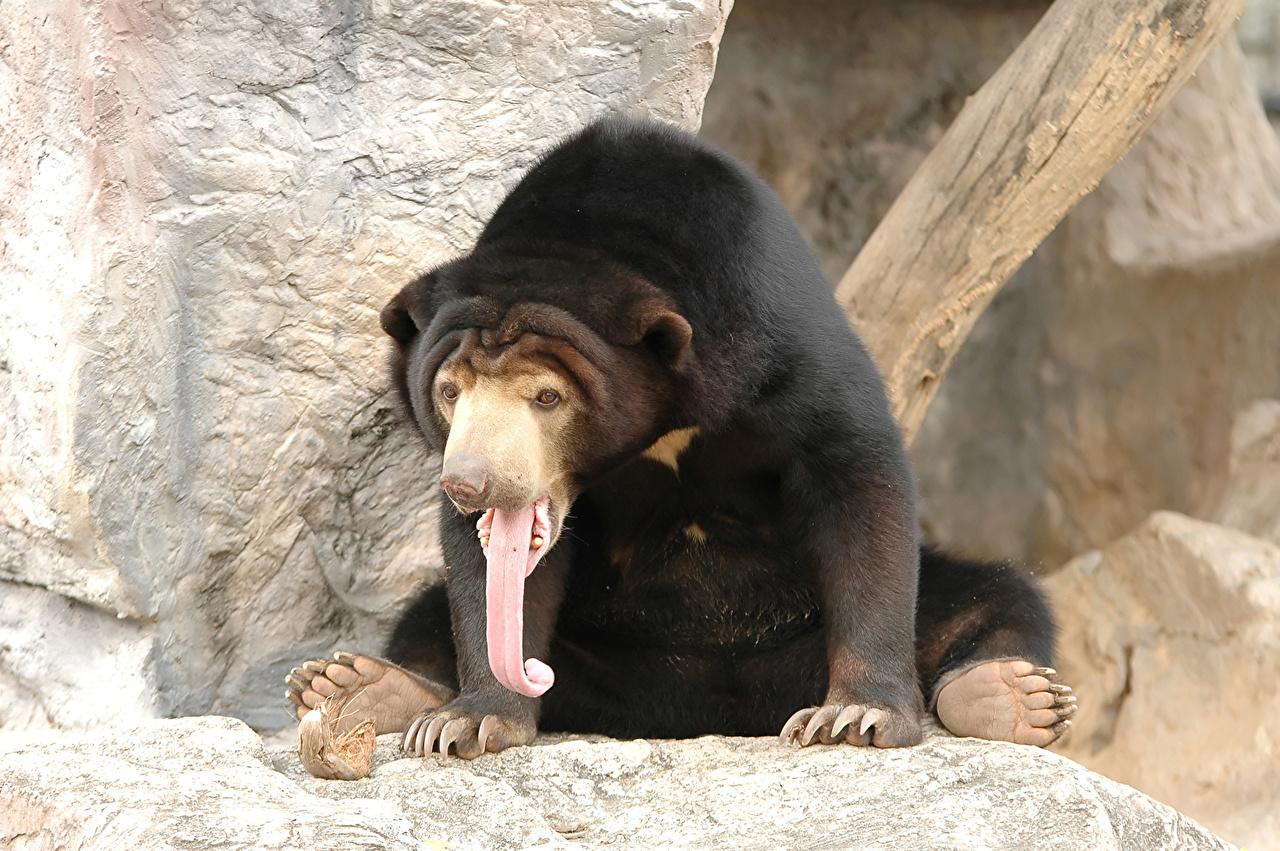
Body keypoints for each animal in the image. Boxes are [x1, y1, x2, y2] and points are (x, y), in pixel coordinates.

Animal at [285, 116, 1075, 757]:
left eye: (548, 396)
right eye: (449, 391)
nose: (470, 482)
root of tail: (707, 707)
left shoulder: (779, 341)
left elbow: (854, 472)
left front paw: (856, 716)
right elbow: (480, 573)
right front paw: (472, 719)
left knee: (991, 596)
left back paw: (1010, 695)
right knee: (425, 614)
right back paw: (355, 684)